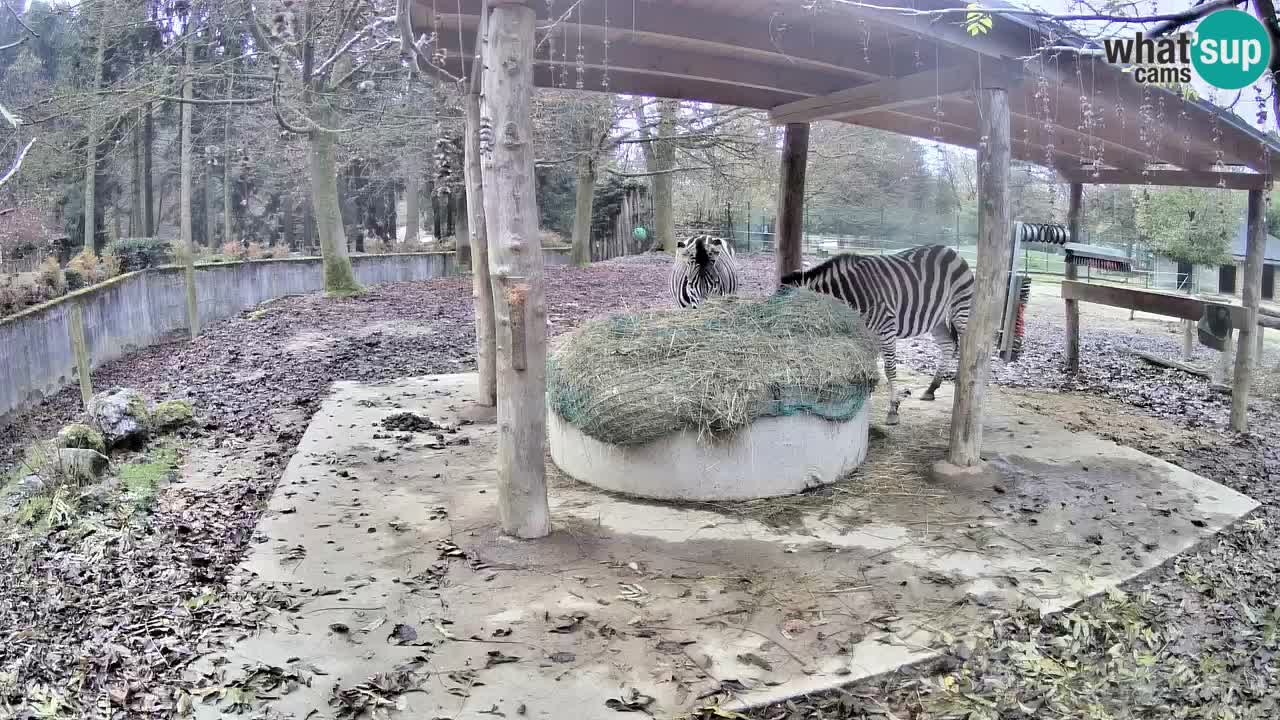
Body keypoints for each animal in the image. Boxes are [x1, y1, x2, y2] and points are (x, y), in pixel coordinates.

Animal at [778, 243, 967, 422]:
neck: (850, 295)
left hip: (961, 310)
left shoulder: (887, 329)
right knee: (948, 346)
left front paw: (893, 409)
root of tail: (950, 250)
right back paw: (931, 389)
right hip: (937, 320)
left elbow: (889, 370)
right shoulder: (866, 334)